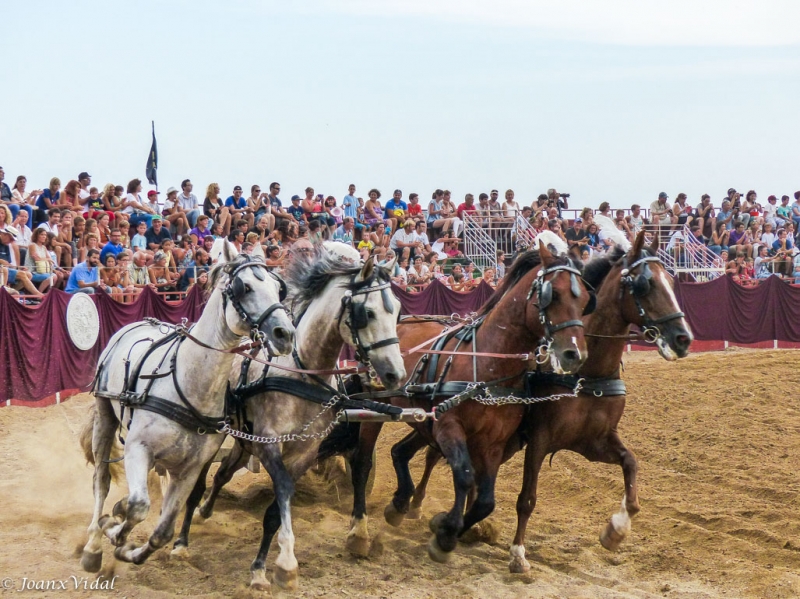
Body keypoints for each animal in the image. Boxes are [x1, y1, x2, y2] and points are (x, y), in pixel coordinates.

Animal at [80, 241, 296, 576]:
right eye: (244, 287)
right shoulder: (138, 447)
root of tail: (140, 321)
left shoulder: (191, 467)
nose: (284, 334)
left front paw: (129, 549)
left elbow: (163, 530)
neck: (189, 384)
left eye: (277, 288)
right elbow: (139, 507)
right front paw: (113, 530)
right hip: (105, 416)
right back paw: (92, 546)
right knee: (100, 482)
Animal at [170, 247, 406, 592]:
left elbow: (275, 510)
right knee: (198, 482)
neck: (303, 375)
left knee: (223, 473)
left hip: (243, 441)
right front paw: (280, 564)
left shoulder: (304, 454)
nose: (396, 374)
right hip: (216, 436)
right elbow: (281, 492)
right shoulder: (270, 445)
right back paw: (182, 541)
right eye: (367, 313)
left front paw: (265, 568)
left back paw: (205, 511)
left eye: (397, 311)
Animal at [340, 237, 592, 564]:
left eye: (585, 298)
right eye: (554, 294)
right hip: (375, 409)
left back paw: (400, 503)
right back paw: (360, 529)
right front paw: (446, 534)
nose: (575, 354)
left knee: (399, 451)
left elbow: (486, 500)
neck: (488, 364)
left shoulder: (493, 442)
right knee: (361, 463)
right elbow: (463, 475)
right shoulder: (450, 427)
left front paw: (449, 529)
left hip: (422, 417)